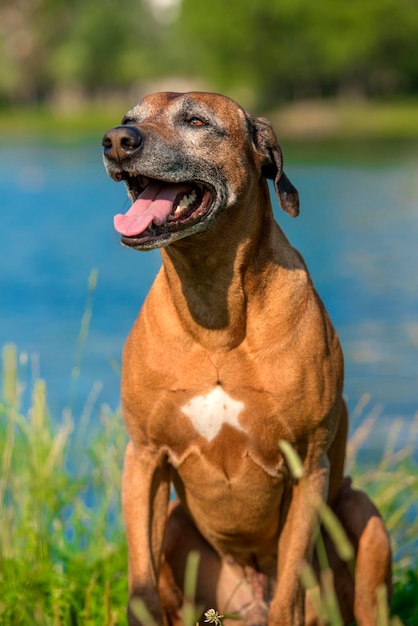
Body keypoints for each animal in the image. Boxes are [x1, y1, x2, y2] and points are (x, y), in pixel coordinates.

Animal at [102, 90, 392, 620]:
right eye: (129, 118)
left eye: (197, 121)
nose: (116, 140)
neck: (214, 307)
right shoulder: (144, 457)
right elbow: (141, 590)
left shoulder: (308, 468)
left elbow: (289, 594)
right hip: (176, 522)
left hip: (363, 517)